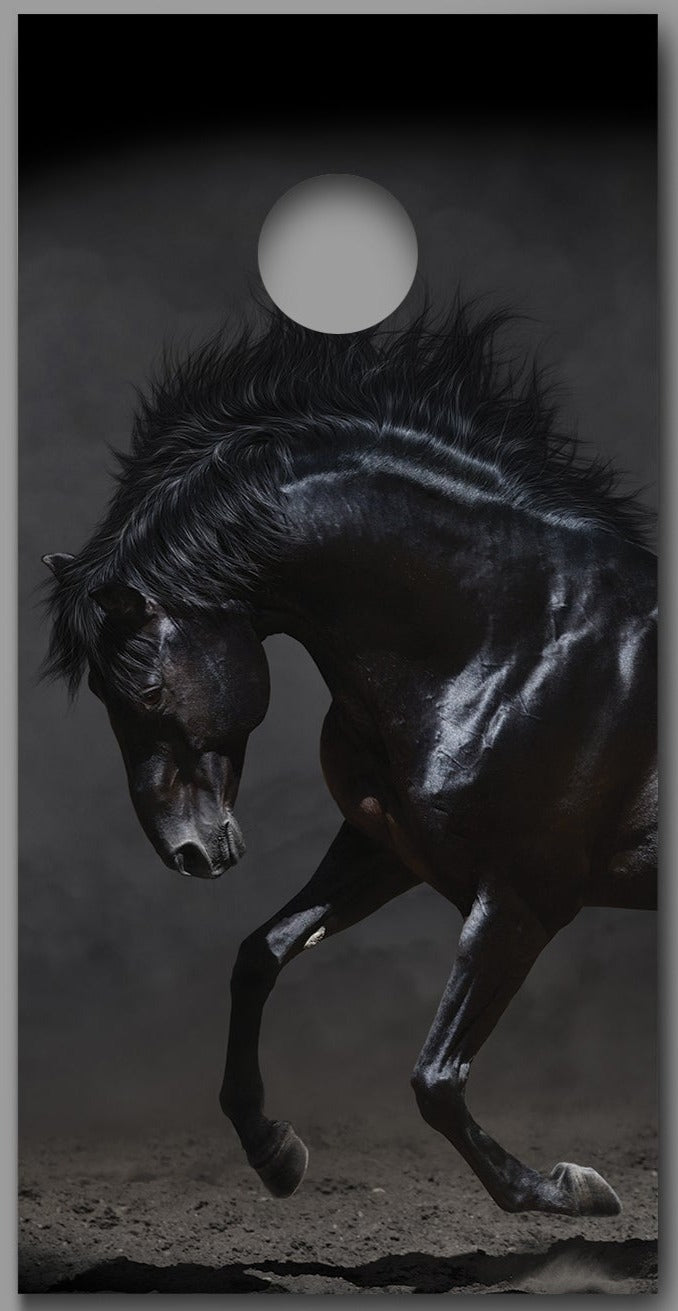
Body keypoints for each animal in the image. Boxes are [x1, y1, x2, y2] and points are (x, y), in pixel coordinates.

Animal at [42, 305, 657, 1218]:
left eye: (145, 689)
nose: (188, 851)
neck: (512, 635)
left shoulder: (523, 896)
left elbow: (436, 1078)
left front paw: (566, 1189)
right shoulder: (386, 848)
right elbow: (260, 954)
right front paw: (273, 1151)